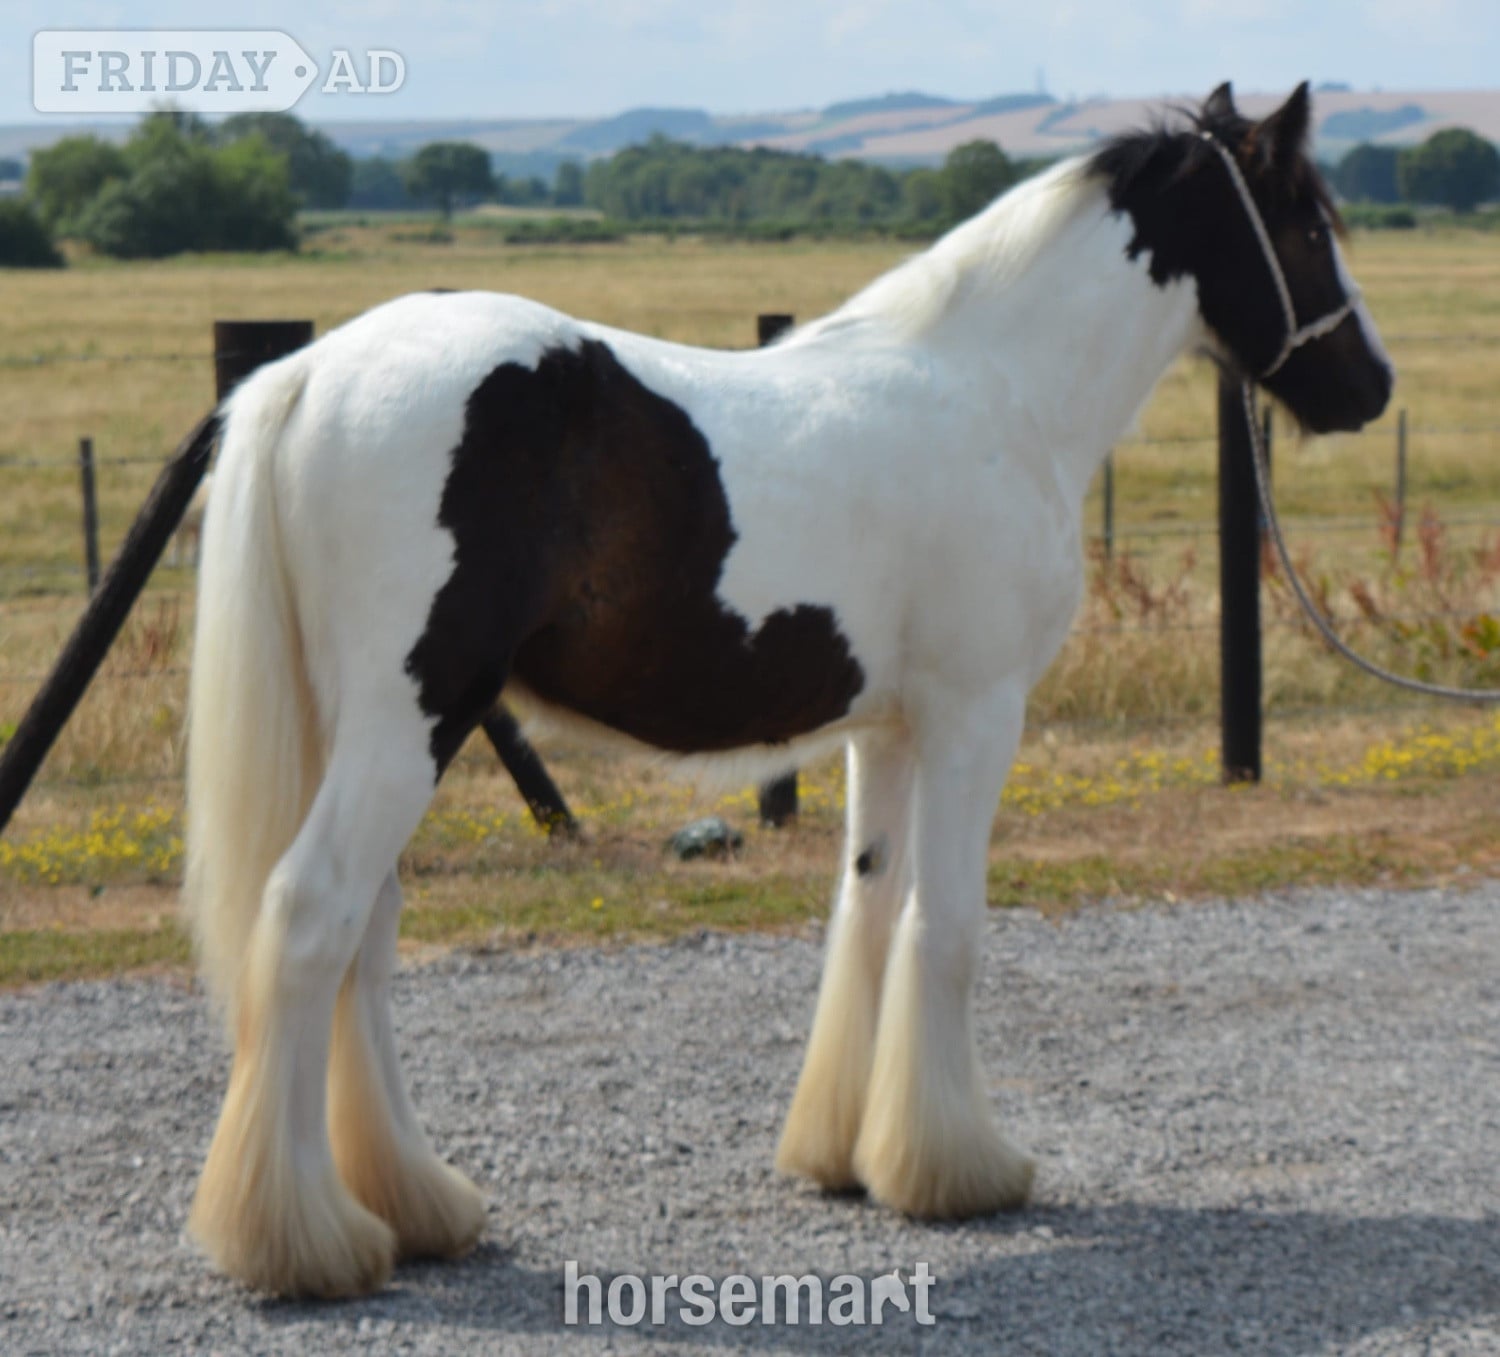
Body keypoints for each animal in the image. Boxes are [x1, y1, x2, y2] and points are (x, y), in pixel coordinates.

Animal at [183, 81, 1392, 1298]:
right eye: (1306, 224)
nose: (1374, 387)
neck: (999, 396)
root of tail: (313, 371)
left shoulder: (887, 730)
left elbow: (870, 907)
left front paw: (850, 1156)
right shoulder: (975, 714)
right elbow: (947, 925)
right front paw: (961, 1171)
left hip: (367, 728)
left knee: (365, 933)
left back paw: (414, 1205)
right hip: (408, 725)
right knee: (310, 917)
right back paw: (305, 1241)